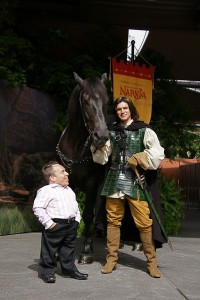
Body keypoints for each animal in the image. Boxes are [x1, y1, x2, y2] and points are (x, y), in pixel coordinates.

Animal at [56, 71, 109, 264]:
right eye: (85, 100)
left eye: (106, 100)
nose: (101, 136)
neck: (75, 146)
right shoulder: (67, 183)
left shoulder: (91, 183)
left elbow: (87, 214)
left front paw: (87, 251)